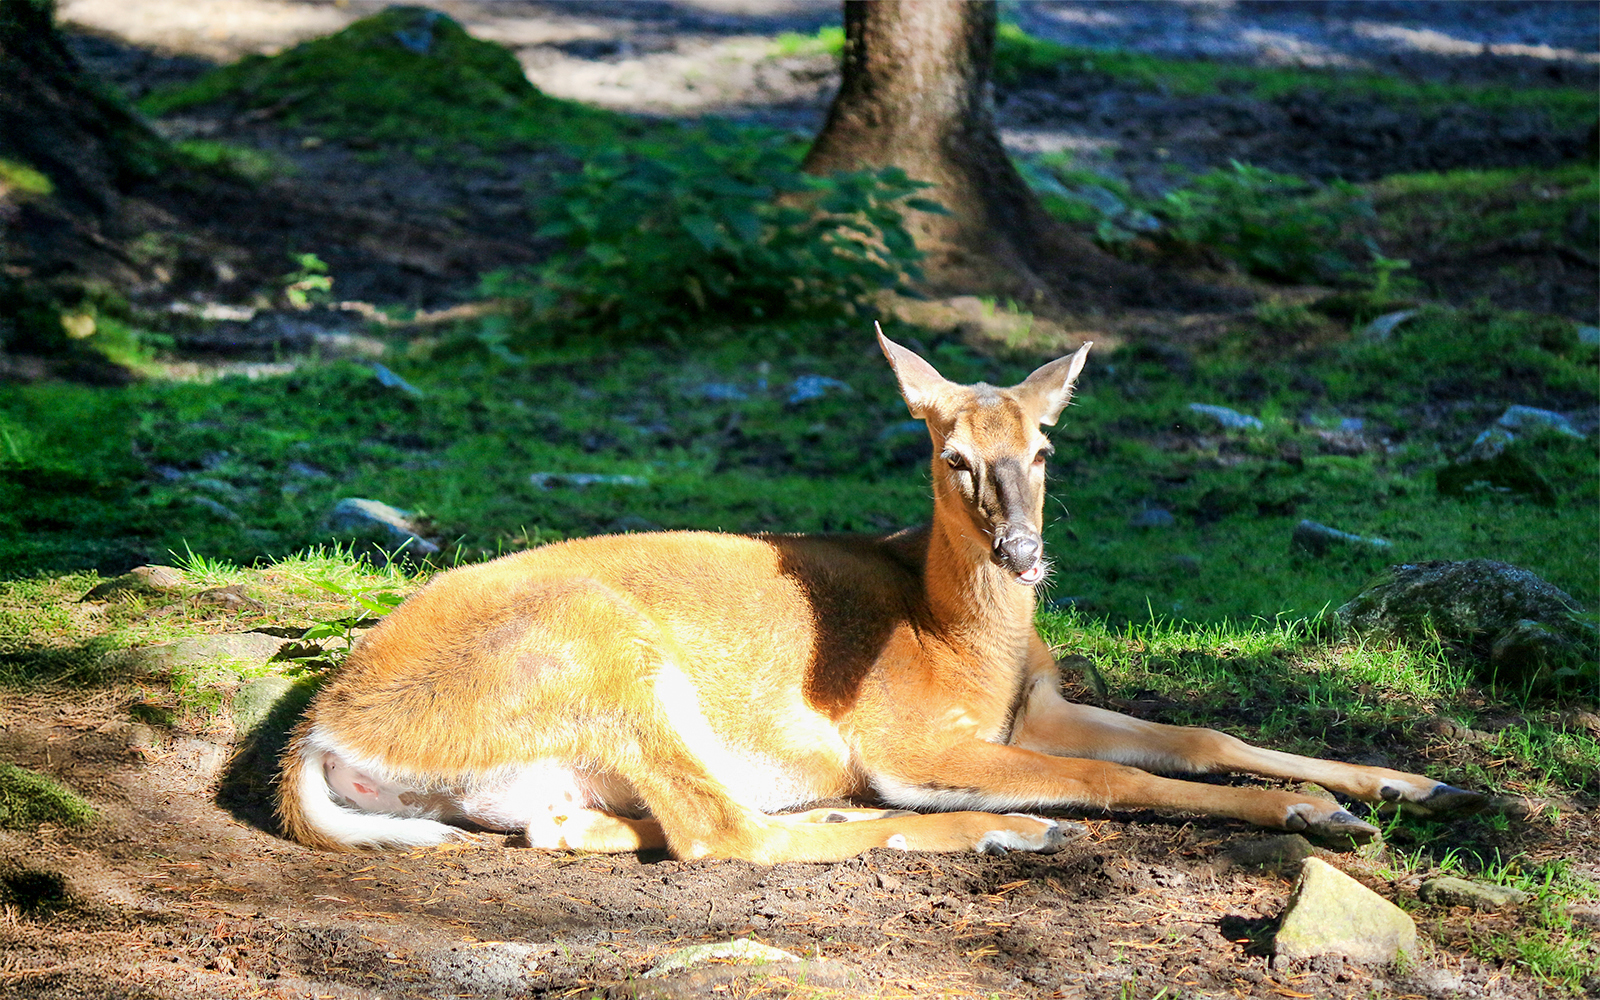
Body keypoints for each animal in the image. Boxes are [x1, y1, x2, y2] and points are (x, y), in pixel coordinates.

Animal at [277, 326, 1485, 862]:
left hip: (542, 769)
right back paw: (998, 834)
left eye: (1045, 446)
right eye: (951, 454)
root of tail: (318, 732)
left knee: (583, 830)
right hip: (604, 651)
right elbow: (1108, 777)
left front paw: (1415, 783)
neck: (961, 641)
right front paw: (1310, 814)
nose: (1023, 552)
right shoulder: (911, 733)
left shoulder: (1033, 703)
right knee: (720, 835)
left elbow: (1198, 734)